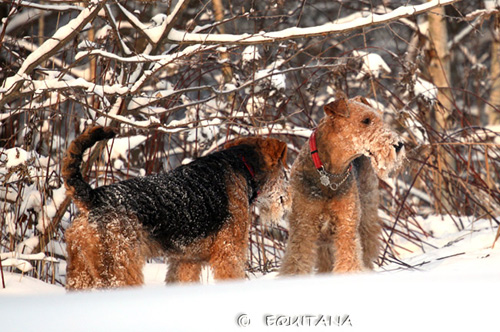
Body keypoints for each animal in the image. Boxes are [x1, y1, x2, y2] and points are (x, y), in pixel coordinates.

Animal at [280, 94, 404, 274]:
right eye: (366, 120)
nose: (399, 145)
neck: (330, 173)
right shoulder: (303, 227)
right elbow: (296, 263)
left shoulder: (346, 225)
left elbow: (349, 260)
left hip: (366, 214)